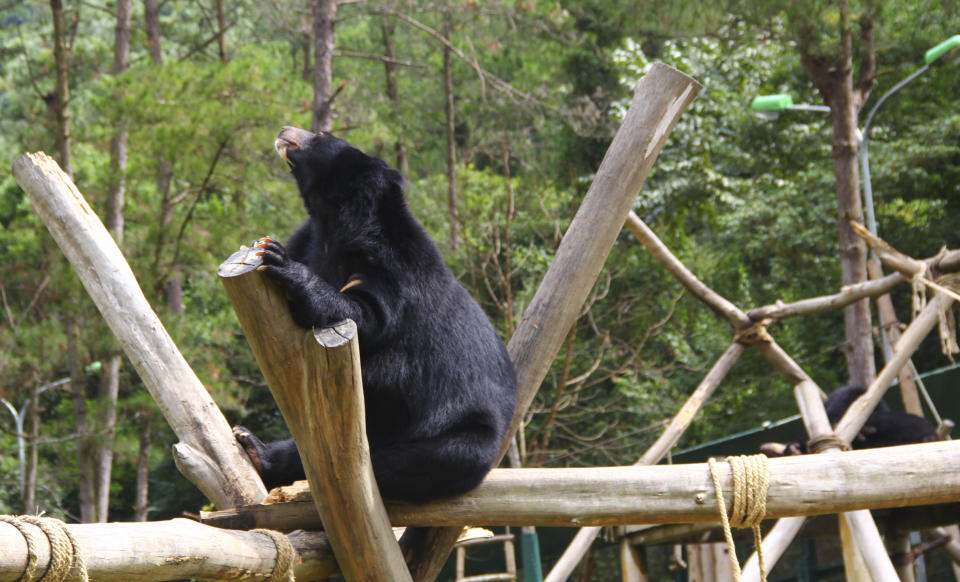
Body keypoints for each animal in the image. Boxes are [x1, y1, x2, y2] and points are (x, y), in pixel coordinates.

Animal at [233, 125, 516, 504]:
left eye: (321, 135)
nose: (284, 129)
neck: (332, 225)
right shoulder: (309, 239)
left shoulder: (394, 271)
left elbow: (365, 315)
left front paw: (278, 259)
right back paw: (254, 447)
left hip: (461, 434)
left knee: (419, 460)